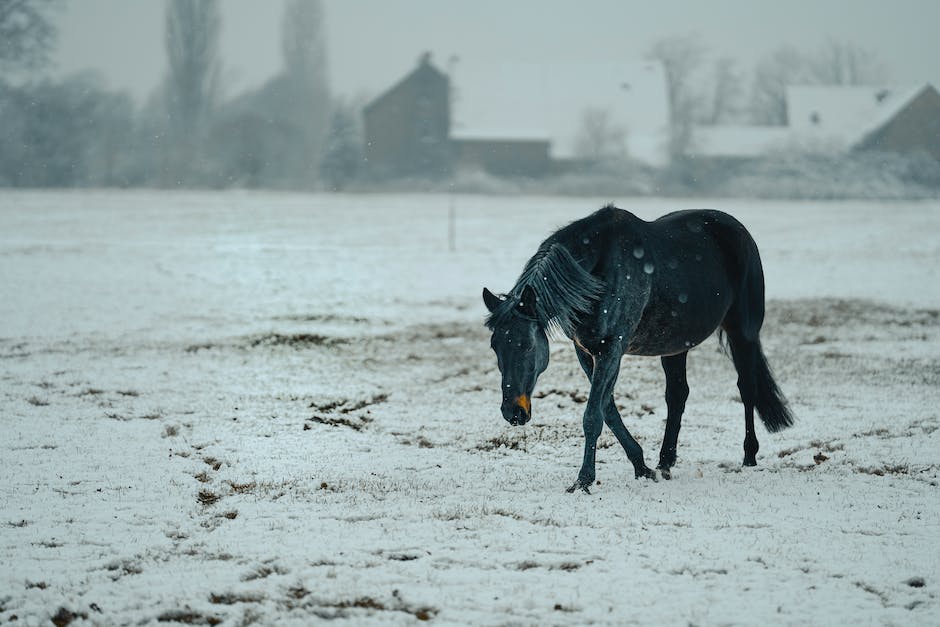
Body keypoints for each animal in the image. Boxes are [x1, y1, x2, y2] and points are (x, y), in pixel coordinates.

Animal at [484, 205, 792, 490]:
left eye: (526, 345)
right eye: (495, 347)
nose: (512, 413)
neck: (597, 273)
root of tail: (739, 231)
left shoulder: (611, 349)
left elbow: (593, 415)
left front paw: (583, 480)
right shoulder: (586, 352)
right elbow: (609, 410)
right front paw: (642, 466)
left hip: (743, 333)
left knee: (747, 389)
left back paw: (749, 457)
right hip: (676, 346)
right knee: (677, 395)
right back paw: (665, 462)